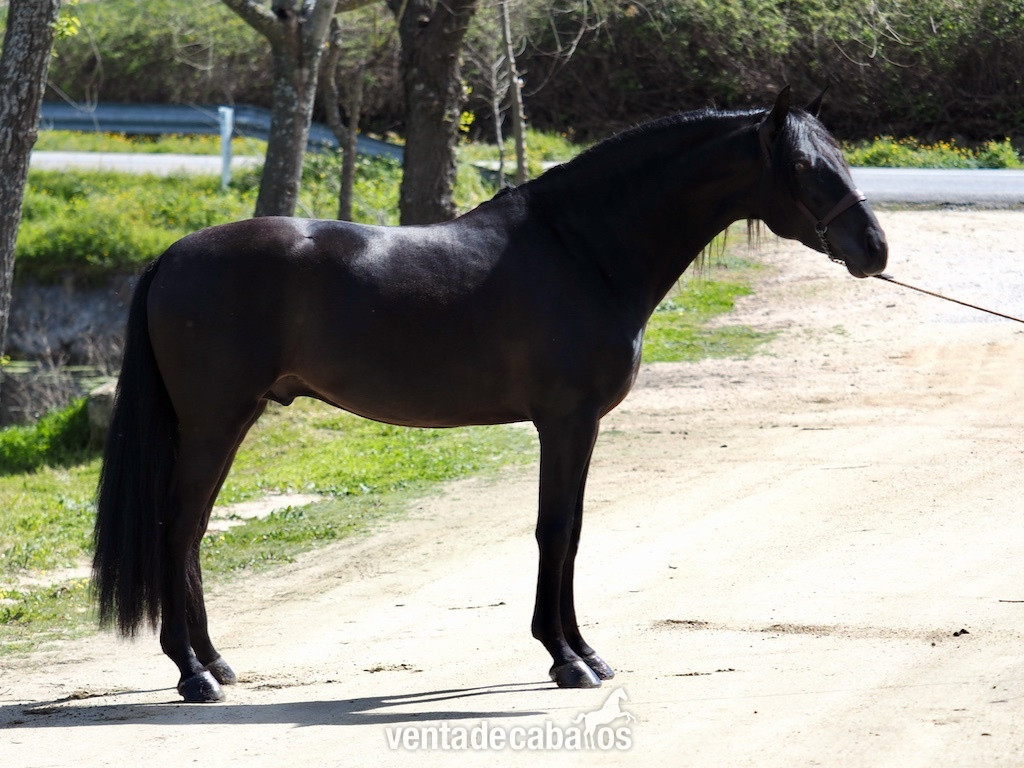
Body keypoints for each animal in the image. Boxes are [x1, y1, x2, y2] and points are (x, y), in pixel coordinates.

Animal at [92, 87, 887, 703]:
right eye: (805, 167)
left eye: (839, 156)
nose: (875, 248)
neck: (583, 250)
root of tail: (172, 255)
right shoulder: (566, 422)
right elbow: (556, 531)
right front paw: (567, 658)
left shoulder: (575, 427)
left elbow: (570, 531)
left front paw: (582, 653)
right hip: (214, 421)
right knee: (178, 528)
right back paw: (193, 674)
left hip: (231, 420)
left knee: (193, 532)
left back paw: (213, 661)